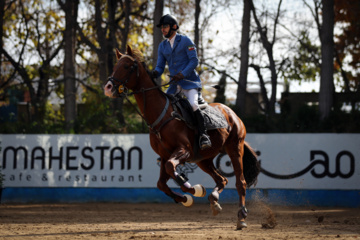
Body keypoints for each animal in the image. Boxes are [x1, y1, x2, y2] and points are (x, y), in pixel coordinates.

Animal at [103, 46, 258, 230]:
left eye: (127, 66)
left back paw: (241, 217)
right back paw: (214, 200)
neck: (162, 115)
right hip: (203, 159)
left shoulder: (184, 150)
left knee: (240, 182)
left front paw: (192, 187)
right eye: (115, 66)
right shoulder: (164, 156)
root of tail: (231, 112)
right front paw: (187, 198)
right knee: (222, 180)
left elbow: (172, 168)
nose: (108, 87)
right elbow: (161, 183)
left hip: (235, 148)